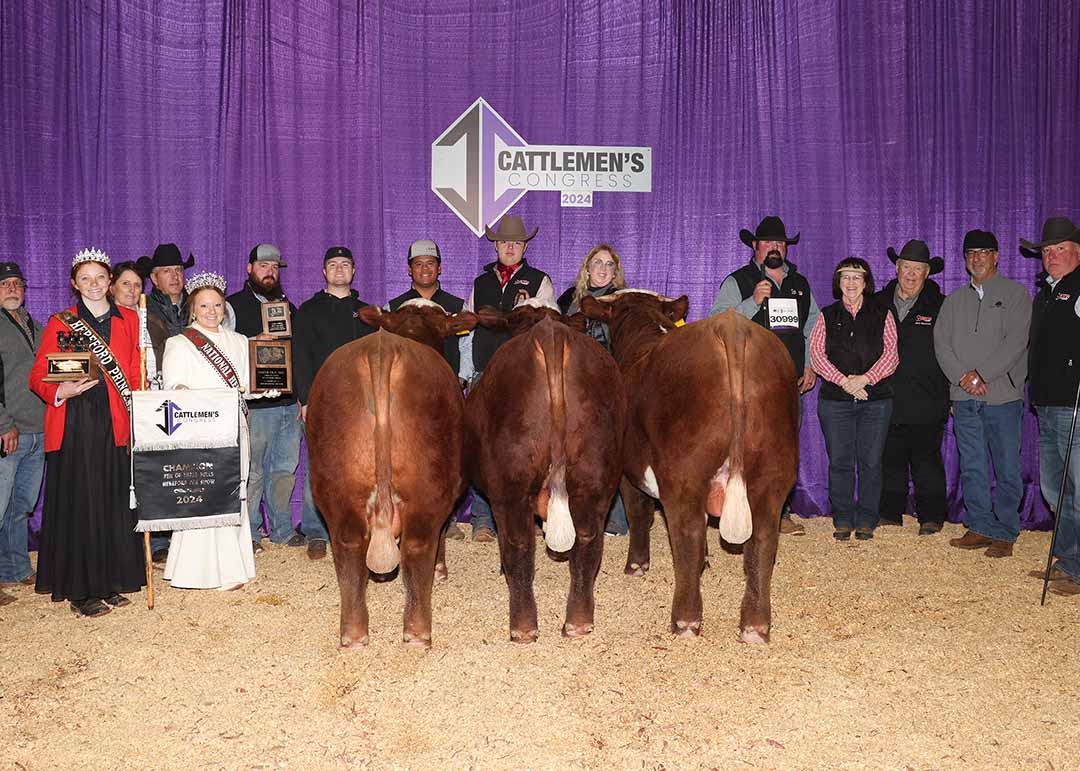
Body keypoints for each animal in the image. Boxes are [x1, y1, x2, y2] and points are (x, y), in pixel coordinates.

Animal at [304, 298, 473, 643]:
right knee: (418, 544)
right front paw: (440, 570)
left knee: (349, 543)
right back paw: (417, 632)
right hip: (427, 486)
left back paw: (354, 634)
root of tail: (381, 348)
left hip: (336, 485)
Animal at [464, 298, 626, 639]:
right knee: (588, 540)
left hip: (510, 484)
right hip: (596, 477)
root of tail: (550, 333)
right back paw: (578, 621)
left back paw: (523, 627)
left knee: (517, 541)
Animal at [578, 291, 799, 639]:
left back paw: (685, 619)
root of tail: (731, 327)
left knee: (688, 530)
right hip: (773, 471)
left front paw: (636, 564)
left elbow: (638, 513)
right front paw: (706, 560)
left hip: (683, 474)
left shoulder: (628, 469)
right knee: (763, 537)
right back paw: (754, 625)